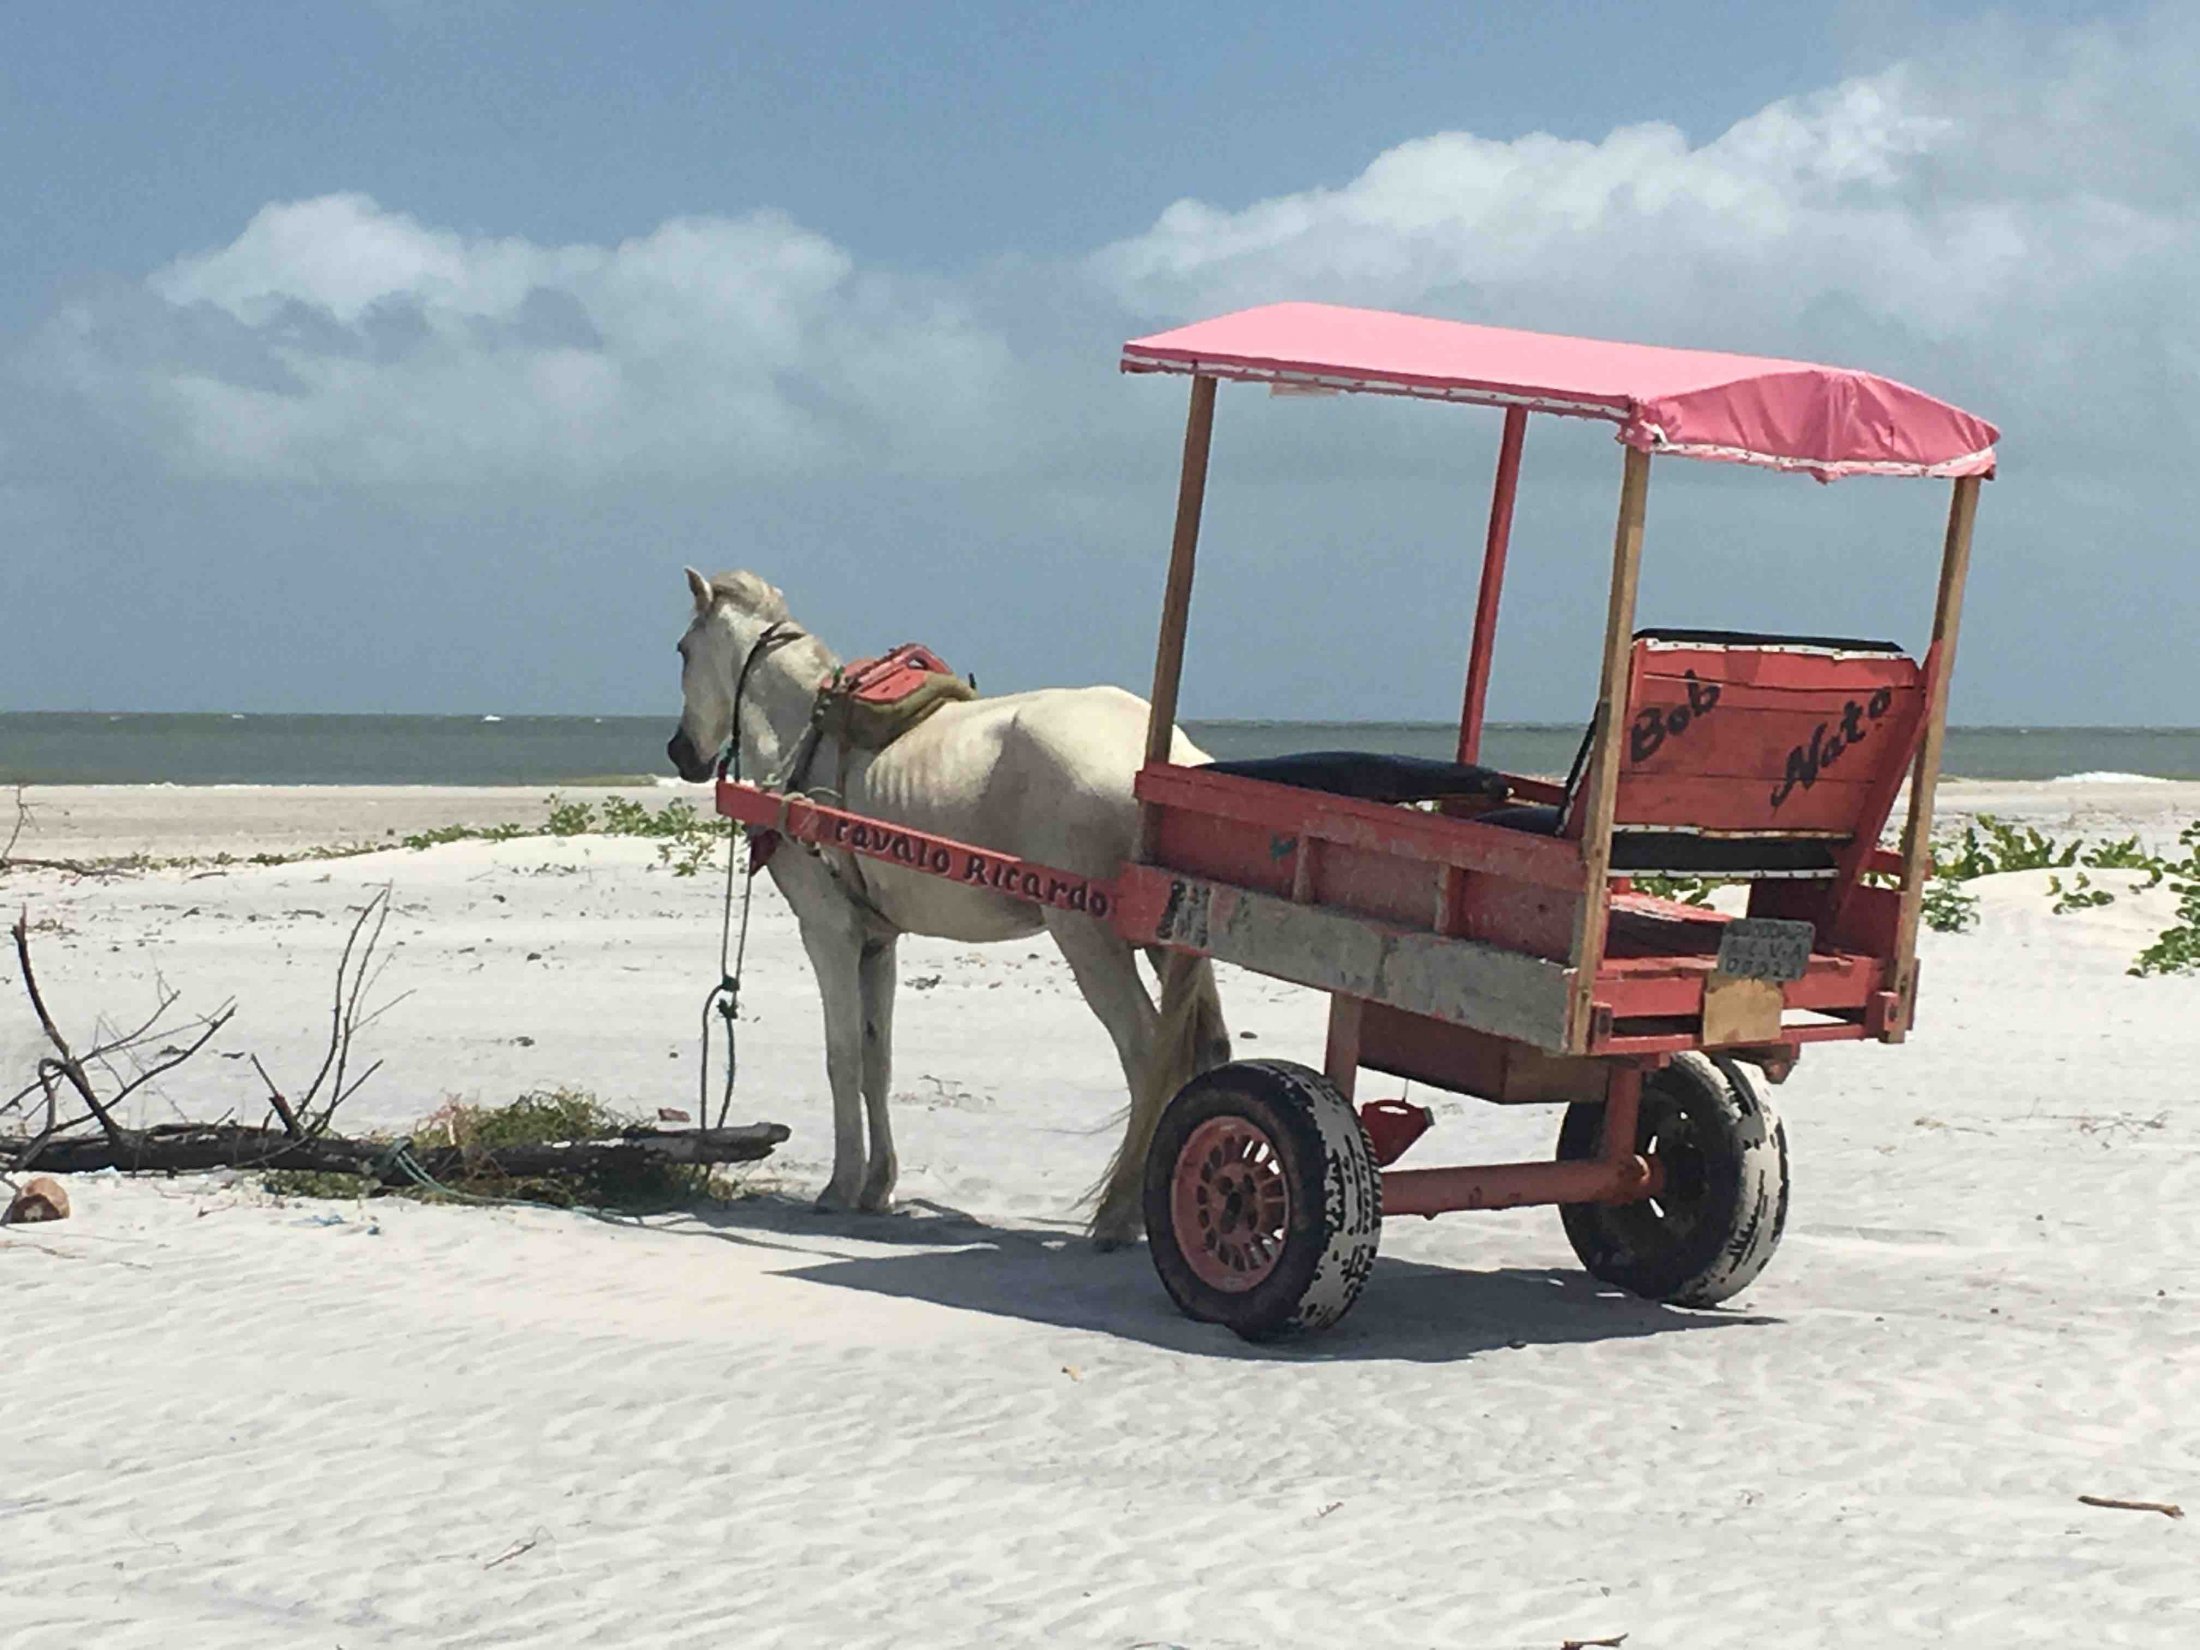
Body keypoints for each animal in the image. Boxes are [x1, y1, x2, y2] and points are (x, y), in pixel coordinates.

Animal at [665, 568, 1230, 1244]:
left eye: (682, 652)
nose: (679, 753)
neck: (806, 736)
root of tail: (1171, 756)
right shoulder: (876, 941)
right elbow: (876, 1060)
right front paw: (876, 1185)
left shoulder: (828, 934)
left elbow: (842, 1057)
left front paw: (839, 1187)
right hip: (1167, 942)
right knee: (1205, 1052)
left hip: (1090, 939)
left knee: (1146, 1054)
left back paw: (1119, 1215)